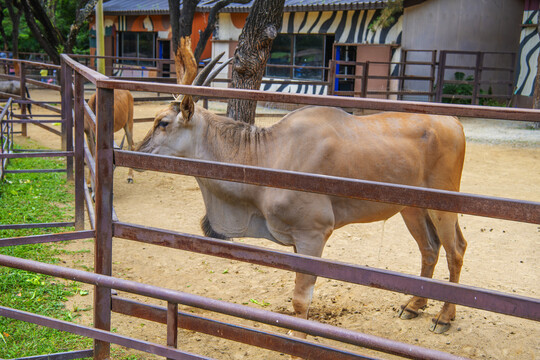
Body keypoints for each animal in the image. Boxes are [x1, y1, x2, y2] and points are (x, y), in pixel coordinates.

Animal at [136, 92, 468, 334]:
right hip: (412, 209)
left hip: (443, 206)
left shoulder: (313, 235)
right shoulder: (298, 240)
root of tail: (454, 121)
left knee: (456, 250)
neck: (270, 154)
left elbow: (300, 300)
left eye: (163, 122)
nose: (138, 153)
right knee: (430, 248)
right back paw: (414, 304)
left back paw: (444, 316)